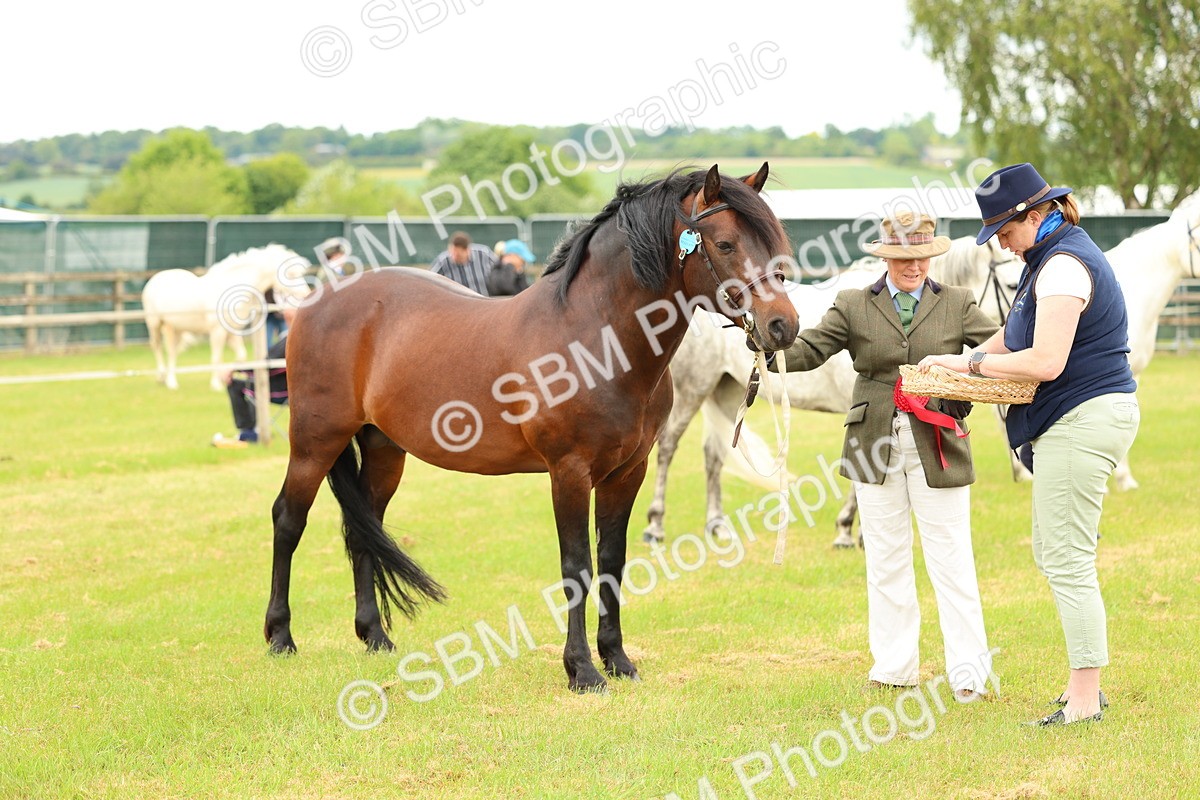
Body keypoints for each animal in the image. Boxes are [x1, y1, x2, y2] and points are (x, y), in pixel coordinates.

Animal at [141, 244, 312, 391]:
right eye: (290, 274)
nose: (306, 293)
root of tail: (155, 278)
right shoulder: (217, 332)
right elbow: (216, 357)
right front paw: (216, 384)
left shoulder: (232, 333)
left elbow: (241, 356)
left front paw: (227, 375)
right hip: (155, 325)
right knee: (158, 348)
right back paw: (165, 378)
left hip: (177, 328)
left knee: (172, 352)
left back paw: (169, 380)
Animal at [264, 165, 800, 693]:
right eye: (725, 244)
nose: (783, 326)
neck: (594, 338)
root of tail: (316, 301)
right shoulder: (569, 472)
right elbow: (576, 566)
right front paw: (582, 670)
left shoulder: (628, 473)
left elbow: (612, 562)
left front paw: (618, 660)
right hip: (314, 442)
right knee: (288, 519)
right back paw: (280, 637)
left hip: (384, 449)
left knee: (364, 529)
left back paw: (375, 636)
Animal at [642, 235, 1021, 549]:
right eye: (1012, 283)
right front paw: (850, 532)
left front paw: (851, 529)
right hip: (694, 389)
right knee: (669, 448)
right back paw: (655, 526)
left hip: (729, 388)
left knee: (713, 454)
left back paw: (717, 525)